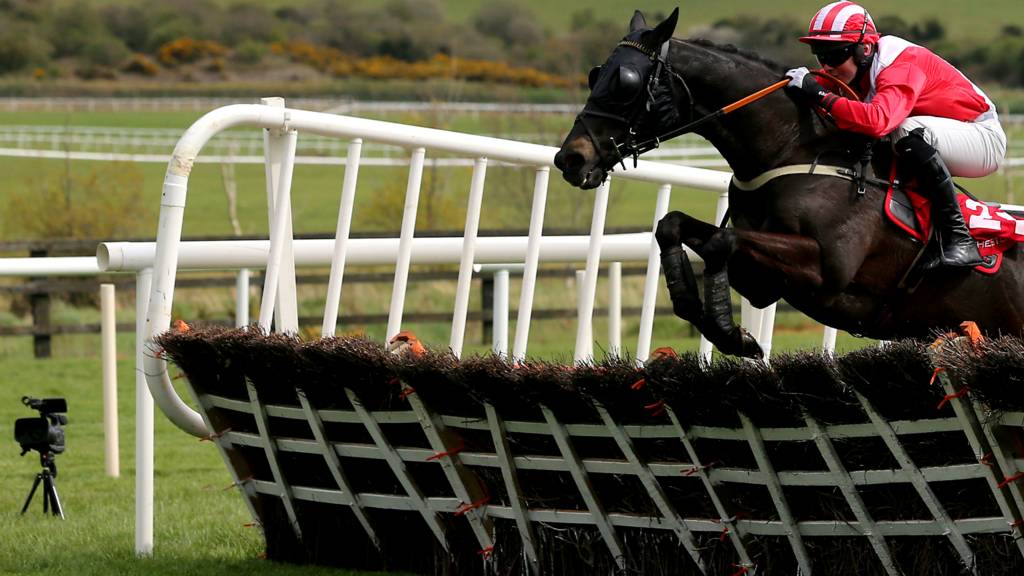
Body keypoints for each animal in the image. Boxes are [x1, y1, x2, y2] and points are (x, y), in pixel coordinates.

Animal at [553, 8, 1024, 358]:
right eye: (597, 74)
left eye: (626, 83)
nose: (570, 158)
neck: (795, 149)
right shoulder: (764, 283)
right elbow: (674, 226)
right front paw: (707, 314)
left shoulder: (825, 268)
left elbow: (720, 241)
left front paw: (730, 332)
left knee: (915, 138)